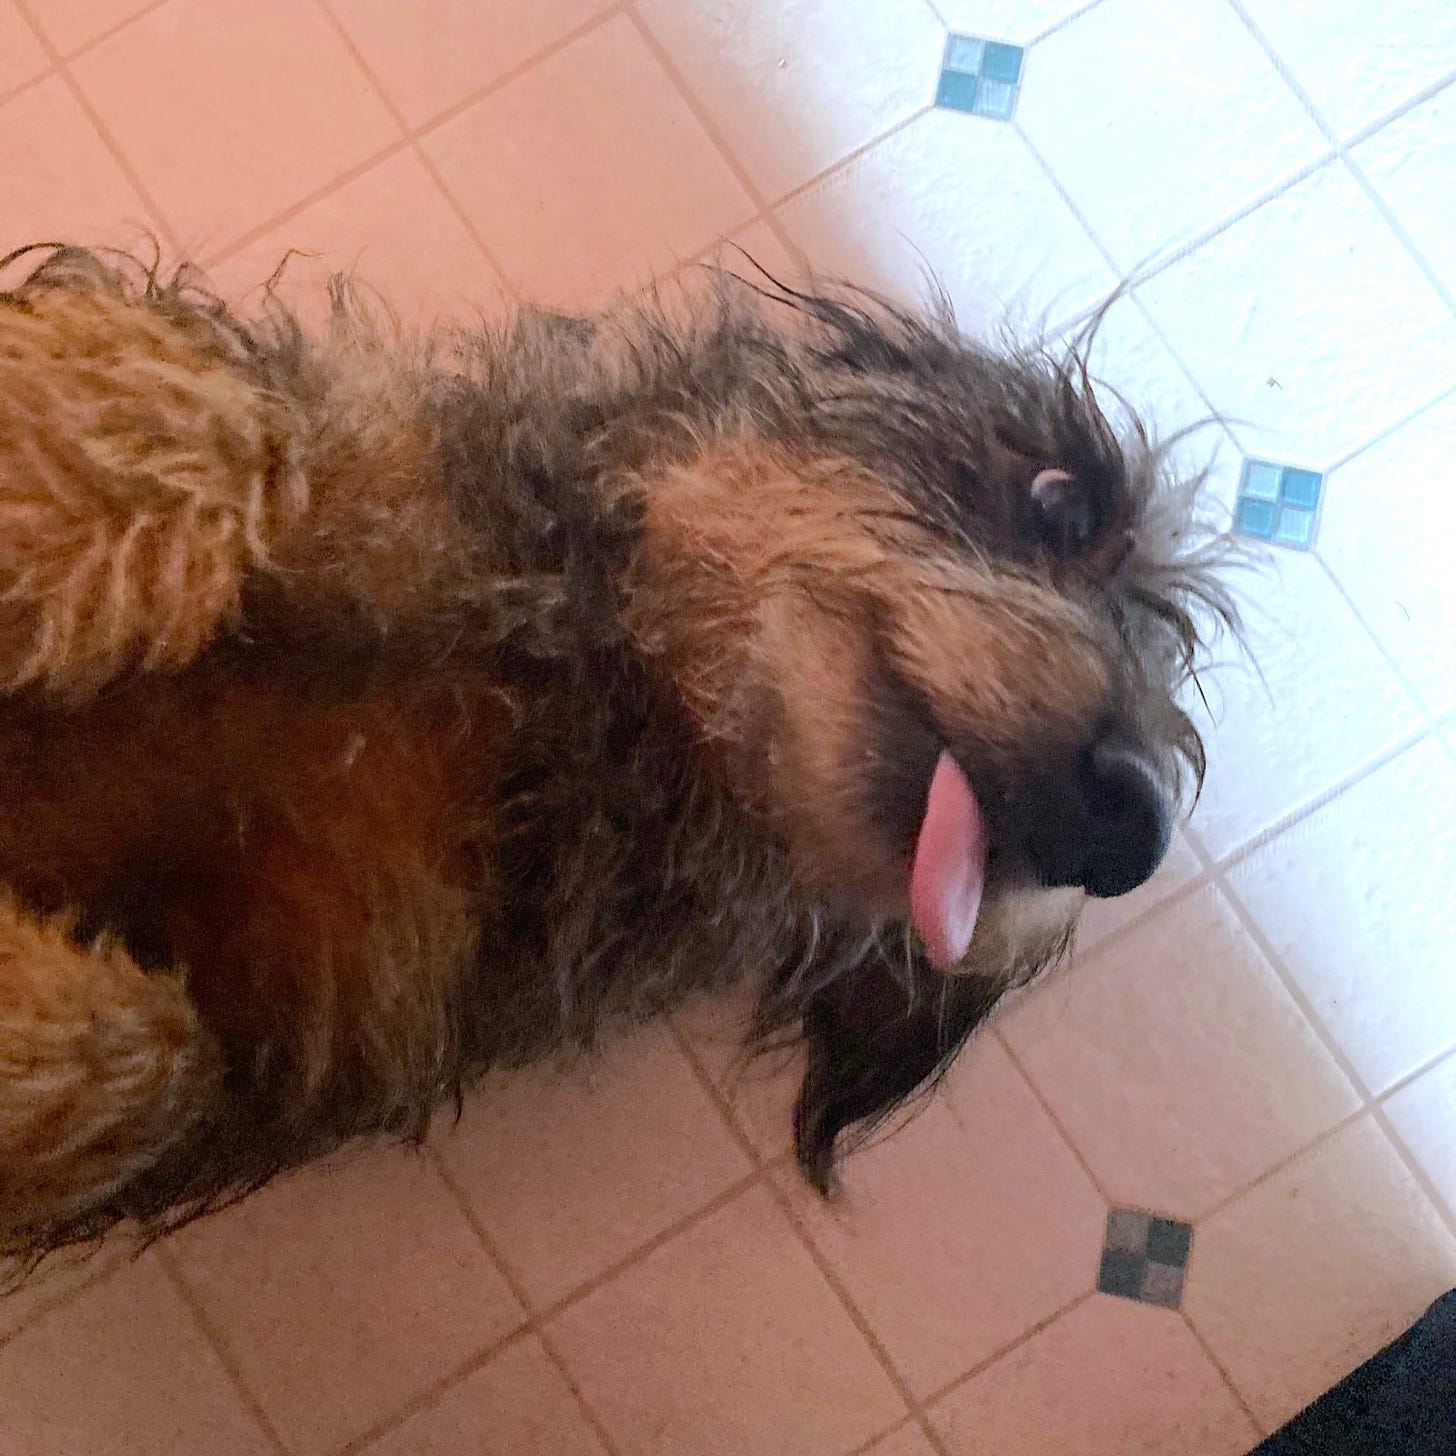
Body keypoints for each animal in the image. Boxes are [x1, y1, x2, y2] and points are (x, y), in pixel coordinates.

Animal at [0, 244, 1234, 1269]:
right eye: (1063, 499)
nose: (1126, 825)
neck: (562, 691)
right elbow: (247, 435)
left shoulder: (311, 999)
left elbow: (165, 1056)